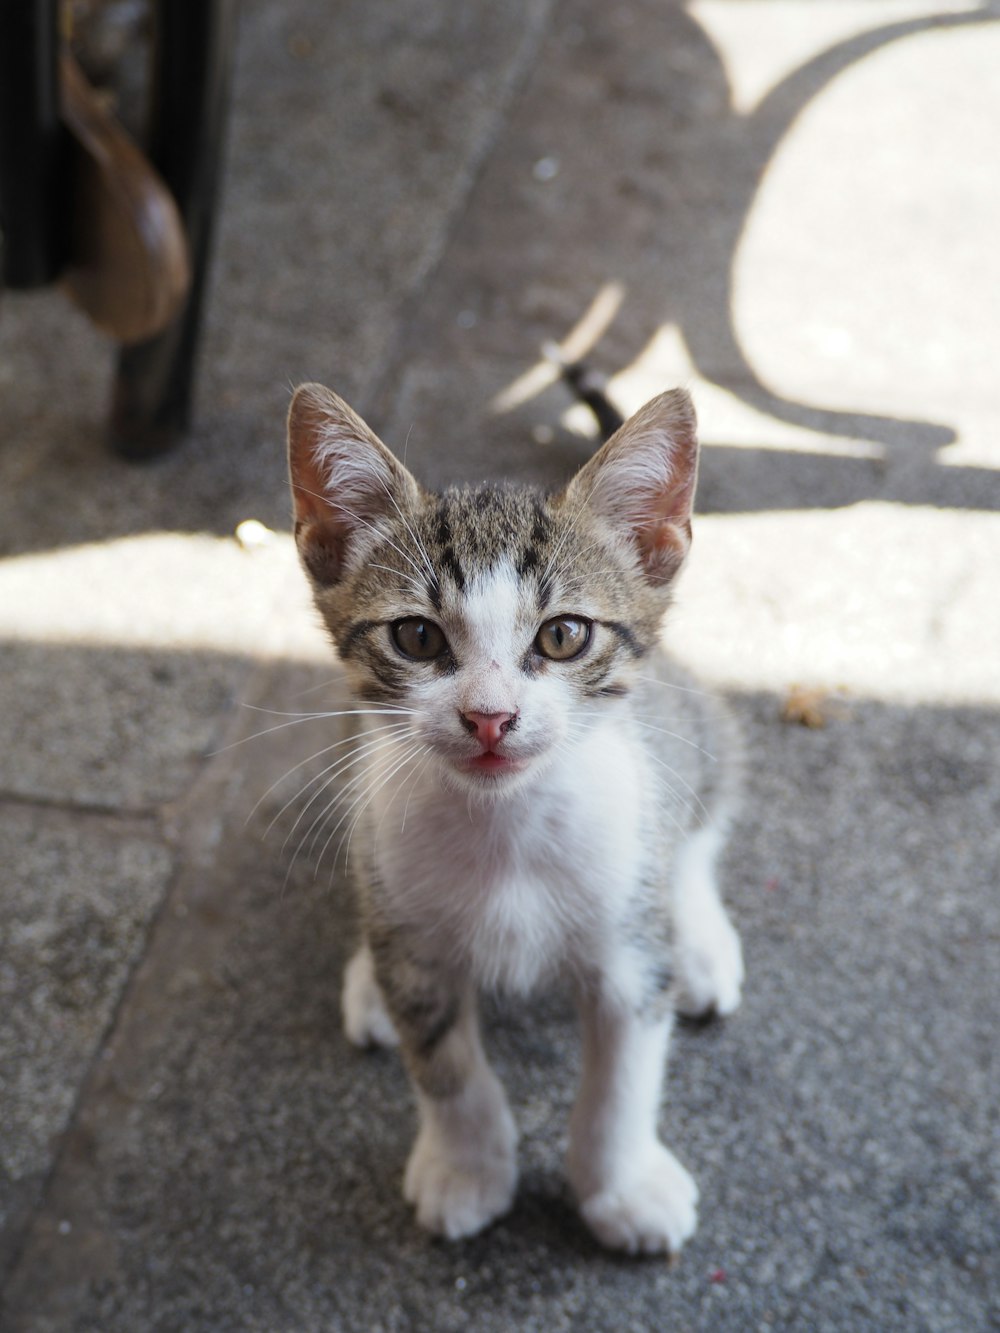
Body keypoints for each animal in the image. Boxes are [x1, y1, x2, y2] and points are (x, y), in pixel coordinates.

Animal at [288, 383, 746, 1247]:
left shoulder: (628, 955)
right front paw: (467, 1167)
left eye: (564, 634)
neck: (506, 826)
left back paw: (700, 939)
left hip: (689, 720)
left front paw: (621, 1186)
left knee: (701, 820)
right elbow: (447, 1069)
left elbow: (624, 1077)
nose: (491, 717)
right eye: (416, 636)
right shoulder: (417, 950)